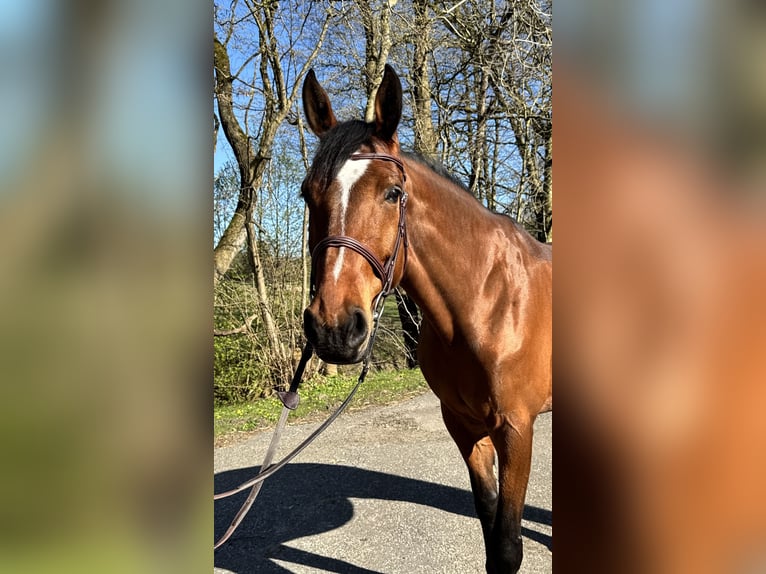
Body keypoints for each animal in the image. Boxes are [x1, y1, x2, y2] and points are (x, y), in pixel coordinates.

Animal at [300, 64, 552, 573]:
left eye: (393, 193)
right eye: (306, 194)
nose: (334, 327)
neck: (487, 302)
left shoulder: (517, 430)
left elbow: (508, 546)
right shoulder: (463, 426)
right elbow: (491, 531)